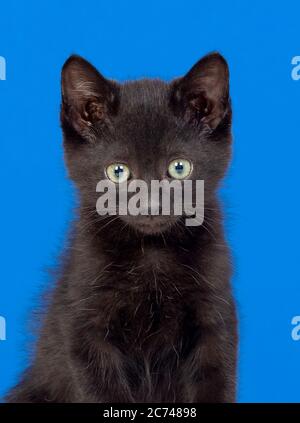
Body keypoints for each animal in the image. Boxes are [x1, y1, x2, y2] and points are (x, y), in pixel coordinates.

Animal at [5, 51, 238, 402]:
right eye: (118, 171)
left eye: (179, 168)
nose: (152, 205)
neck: (152, 253)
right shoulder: (83, 324)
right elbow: (102, 390)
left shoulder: (215, 317)